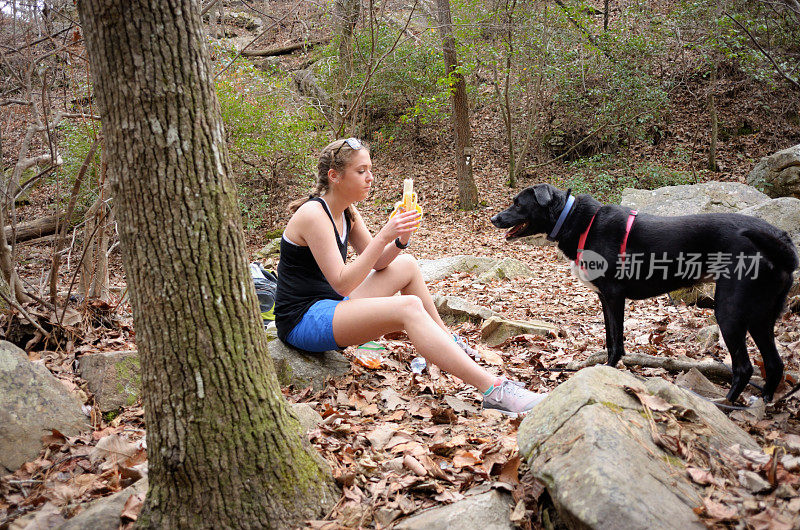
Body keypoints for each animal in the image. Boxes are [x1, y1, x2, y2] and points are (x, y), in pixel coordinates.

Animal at [490, 183, 796, 400]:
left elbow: (616, 341)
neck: (576, 221)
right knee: (775, 364)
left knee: (744, 368)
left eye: (518, 203)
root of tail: (781, 238)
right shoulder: (605, 298)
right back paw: (764, 401)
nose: (494, 218)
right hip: (761, 316)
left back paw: (725, 405)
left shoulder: (614, 296)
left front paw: (609, 370)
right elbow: (611, 338)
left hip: (730, 311)